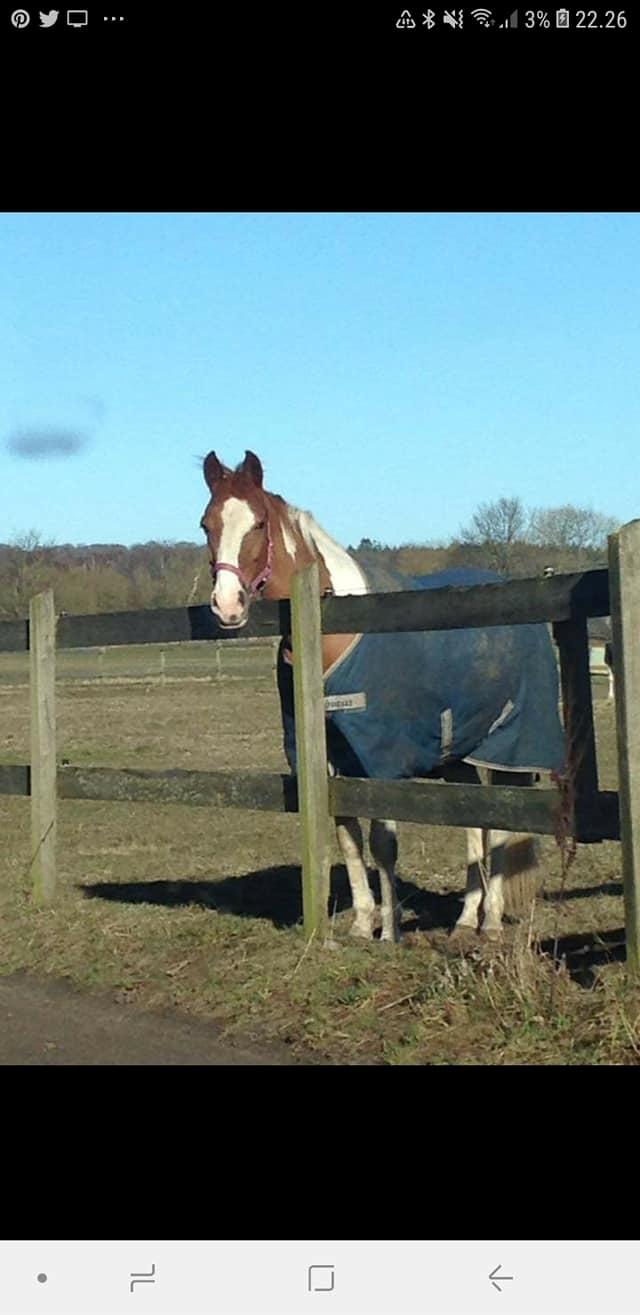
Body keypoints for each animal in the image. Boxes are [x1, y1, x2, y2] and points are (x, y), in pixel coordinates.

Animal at [201, 452, 565, 946]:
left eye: (257, 523)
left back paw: (489, 922)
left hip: (510, 749)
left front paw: (390, 931)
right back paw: (464, 920)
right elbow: (349, 841)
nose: (227, 606)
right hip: (460, 757)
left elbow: (382, 844)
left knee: (504, 827)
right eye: (207, 525)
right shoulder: (331, 764)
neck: (333, 631)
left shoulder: (380, 761)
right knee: (476, 824)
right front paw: (360, 924)